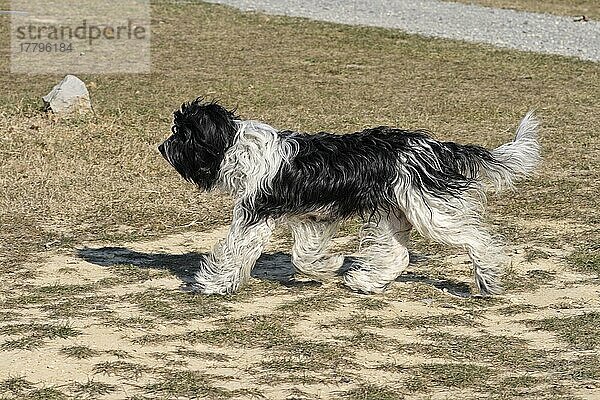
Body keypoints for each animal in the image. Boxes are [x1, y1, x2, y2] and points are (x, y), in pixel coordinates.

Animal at [158, 98, 540, 296]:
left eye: (182, 133)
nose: (162, 147)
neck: (237, 146)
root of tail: (433, 146)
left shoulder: (256, 212)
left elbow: (236, 250)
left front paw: (213, 283)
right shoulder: (312, 216)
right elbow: (303, 256)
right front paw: (329, 267)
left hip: (428, 209)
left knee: (477, 239)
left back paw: (488, 278)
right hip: (392, 212)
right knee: (398, 254)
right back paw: (365, 281)